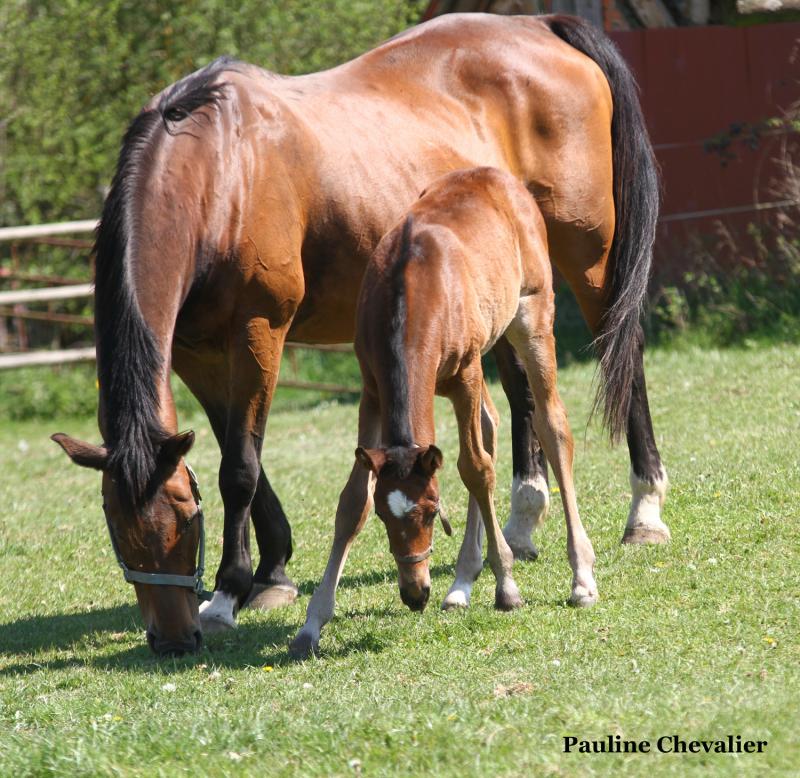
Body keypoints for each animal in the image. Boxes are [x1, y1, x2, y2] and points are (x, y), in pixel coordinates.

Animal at [290, 166, 598, 657]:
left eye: (432, 511)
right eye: (385, 517)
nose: (415, 594)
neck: (413, 286)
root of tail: (500, 177)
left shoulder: (466, 374)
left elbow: (475, 468)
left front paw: (507, 587)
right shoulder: (372, 391)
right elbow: (352, 499)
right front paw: (311, 623)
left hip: (530, 317)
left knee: (551, 427)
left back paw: (581, 577)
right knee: (491, 427)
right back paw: (460, 585)